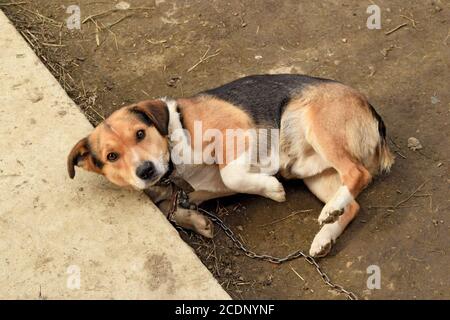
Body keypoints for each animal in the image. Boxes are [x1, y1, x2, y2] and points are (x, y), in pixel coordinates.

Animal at [67, 75, 394, 258]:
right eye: (112, 156)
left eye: (139, 133)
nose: (145, 171)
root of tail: (371, 112)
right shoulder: (193, 191)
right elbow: (168, 208)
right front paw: (196, 221)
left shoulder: (236, 131)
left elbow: (231, 174)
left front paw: (271, 189)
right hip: (311, 173)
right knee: (353, 204)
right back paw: (325, 235)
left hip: (316, 128)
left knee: (358, 173)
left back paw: (330, 210)